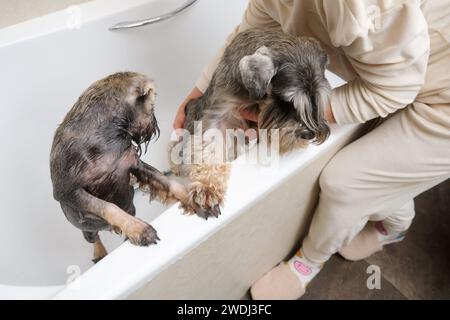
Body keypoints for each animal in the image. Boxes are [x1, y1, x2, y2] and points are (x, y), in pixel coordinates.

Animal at [169, 28, 330, 219]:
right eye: (286, 102)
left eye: (318, 100)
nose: (308, 134)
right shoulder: (220, 113)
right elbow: (210, 149)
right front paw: (207, 189)